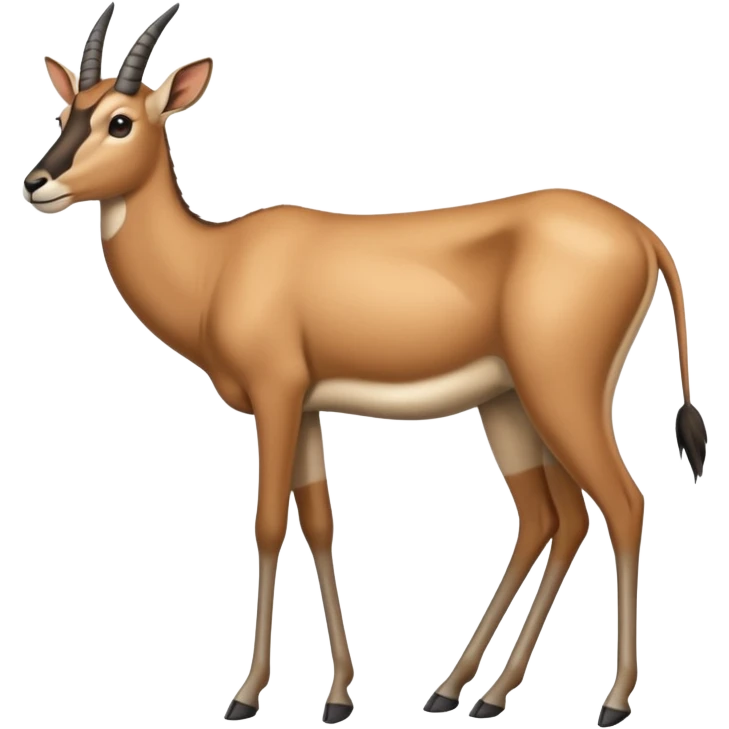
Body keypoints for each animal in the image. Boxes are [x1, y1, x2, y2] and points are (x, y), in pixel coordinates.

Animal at [23, 3, 709, 726]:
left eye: (119, 120)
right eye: (68, 110)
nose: (36, 182)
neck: (215, 265)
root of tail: (642, 235)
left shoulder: (275, 398)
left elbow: (268, 524)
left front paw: (246, 694)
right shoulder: (305, 408)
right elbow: (319, 523)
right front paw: (338, 693)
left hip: (562, 396)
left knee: (622, 502)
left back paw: (610, 700)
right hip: (510, 404)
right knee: (555, 517)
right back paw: (467, 692)